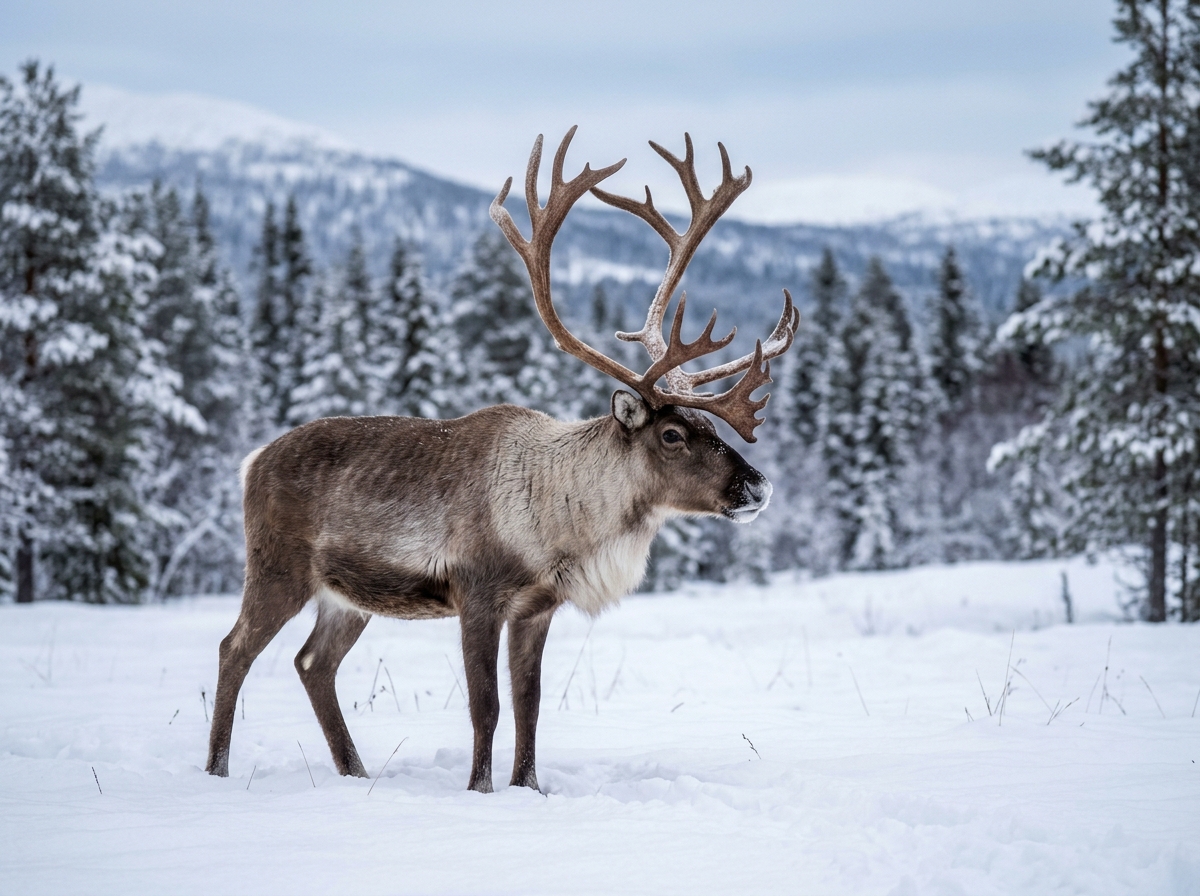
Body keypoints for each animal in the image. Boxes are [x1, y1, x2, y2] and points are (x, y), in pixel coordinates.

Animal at [205, 128, 799, 793]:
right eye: (672, 433)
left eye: (709, 424)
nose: (758, 485)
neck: (562, 524)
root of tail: (251, 460)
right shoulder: (477, 592)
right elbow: (486, 704)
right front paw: (479, 790)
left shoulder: (537, 608)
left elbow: (530, 704)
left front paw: (528, 788)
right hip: (277, 566)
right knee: (235, 648)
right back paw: (217, 769)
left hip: (345, 596)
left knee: (312, 663)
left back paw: (354, 773)